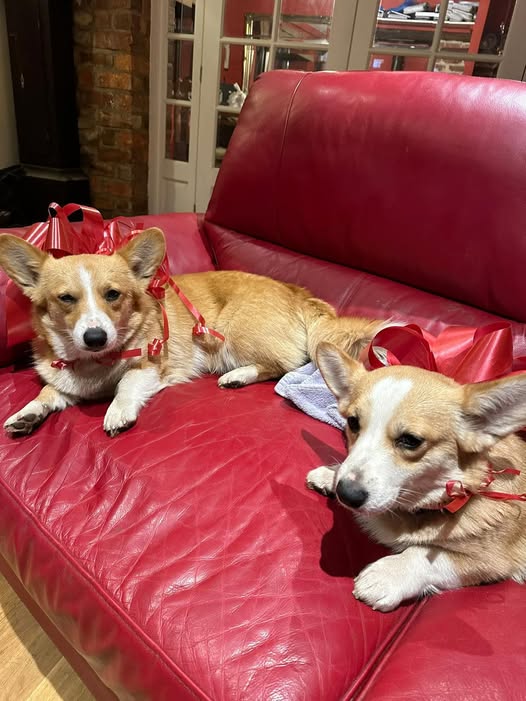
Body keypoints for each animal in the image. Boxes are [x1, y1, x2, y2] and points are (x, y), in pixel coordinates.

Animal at [0, 227, 383, 437]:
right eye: (66, 298)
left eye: (113, 295)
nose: (95, 338)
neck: (96, 363)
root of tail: (299, 292)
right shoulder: (66, 382)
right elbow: (48, 392)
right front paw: (26, 414)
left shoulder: (149, 366)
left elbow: (126, 385)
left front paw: (116, 411)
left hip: (233, 331)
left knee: (287, 364)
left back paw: (237, 376)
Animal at [307, 342, 526, 611]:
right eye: (353, 422)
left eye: (410, 441)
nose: (346, 494)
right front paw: (330, 474)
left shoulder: (490, 560)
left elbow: (424, 555)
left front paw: (385, 576)